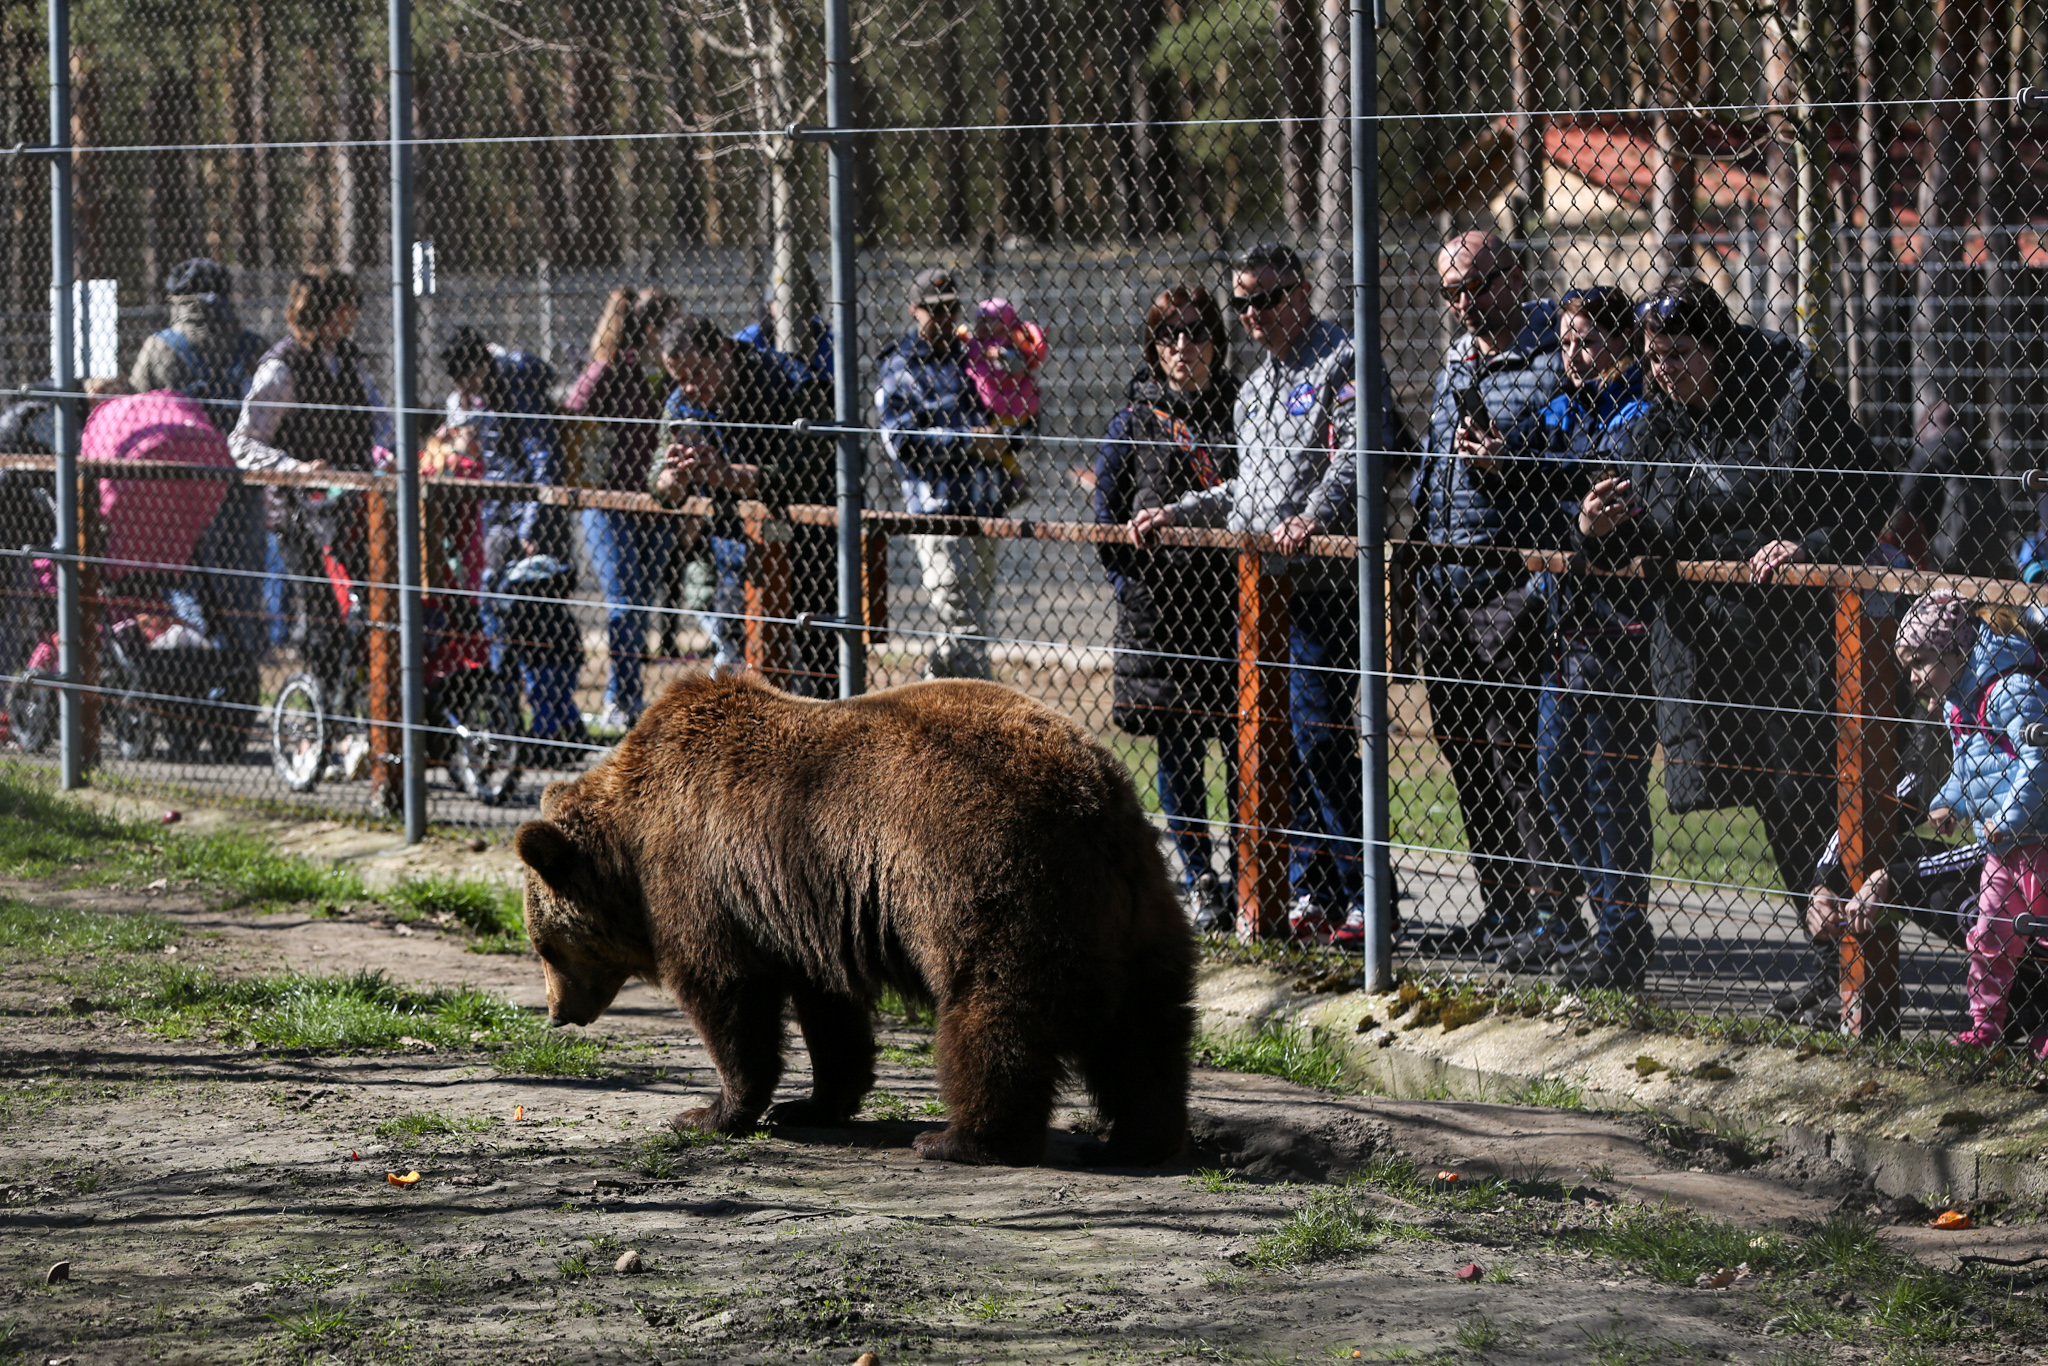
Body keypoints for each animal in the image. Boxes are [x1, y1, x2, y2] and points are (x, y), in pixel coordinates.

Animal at [507, 671, 1196, 1163]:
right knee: (1148, 1027)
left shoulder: (700, 880)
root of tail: (1093, 797)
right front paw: (811, 1104)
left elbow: (727, 996)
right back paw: (1141, 1137)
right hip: (1136, 904)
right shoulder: (807, 907)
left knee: (994, 1012)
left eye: (545, 946)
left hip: (987, 878)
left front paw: (709, 1112)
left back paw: (960, 1139)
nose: (558, 1012)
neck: (629, 849)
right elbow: (831, 1015)